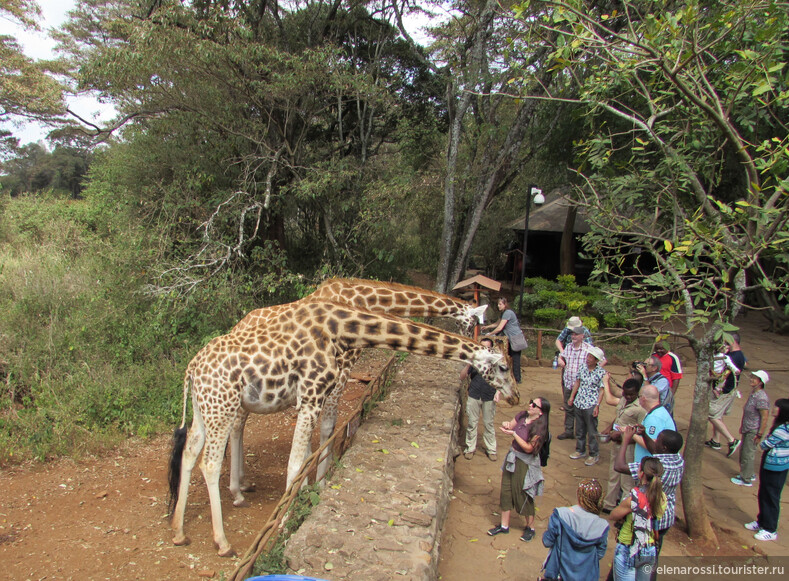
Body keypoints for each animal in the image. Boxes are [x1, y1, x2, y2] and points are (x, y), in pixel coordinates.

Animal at [168, 302, 516, 556]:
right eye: (502, 366)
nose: (514, 396)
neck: (342, 330)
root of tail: (191, 368)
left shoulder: (315, 398)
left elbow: (313, 453)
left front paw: (306, 497)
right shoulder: (310, 396)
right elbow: (296, 463)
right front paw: (283, 523)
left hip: (204, 410)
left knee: (189, 452)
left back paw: (179, 531)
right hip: (223, 407)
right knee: (210, 462)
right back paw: (223, 541)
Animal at [226, 276, 486, 484]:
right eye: (475, 322)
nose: (474, 341)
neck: (362, 301)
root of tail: (235, 326)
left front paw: (313, 481)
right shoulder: (340, 371)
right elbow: (328, 427)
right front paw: (319, 483)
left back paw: (242, 483)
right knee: (236, 424)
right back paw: (237, 489)